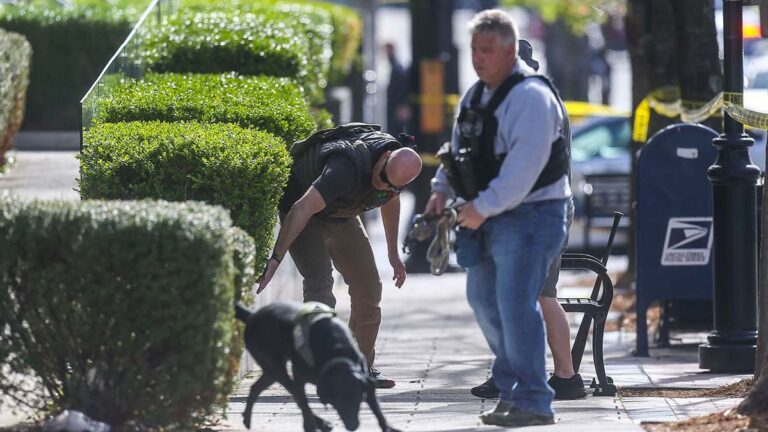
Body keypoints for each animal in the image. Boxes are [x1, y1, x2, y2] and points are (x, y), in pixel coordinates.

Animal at [234, 300, 402, 432]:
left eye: (358, 400)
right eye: (337, 403)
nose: (352, 426)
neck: (337, 352)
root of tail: (252, 315)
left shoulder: (365, 381)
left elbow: (377, 409)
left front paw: (388, 427)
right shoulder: (300, 377)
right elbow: (304, 403)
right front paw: (309, 426)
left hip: (270, 371)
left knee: (255, 388)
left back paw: (246, 419)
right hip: (275, 367)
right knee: (294, 394)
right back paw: (321, 423)